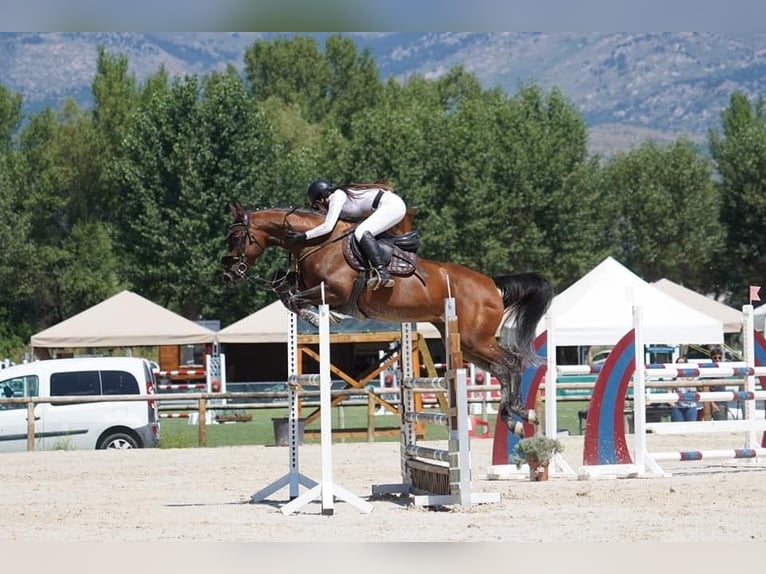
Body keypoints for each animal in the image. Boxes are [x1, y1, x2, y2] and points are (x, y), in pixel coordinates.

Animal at [220, 204, 552, 436]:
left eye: (235, 236)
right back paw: (515, 418)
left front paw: (319, 318)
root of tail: (491, 285)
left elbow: (293, 297)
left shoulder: (336, 292)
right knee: (501, 369)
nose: (227, 273)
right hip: (465, 343)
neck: (318, 243)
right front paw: (314, 315)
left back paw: (521, 415)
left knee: (511, 363)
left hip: (475, 339)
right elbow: (285, 291)